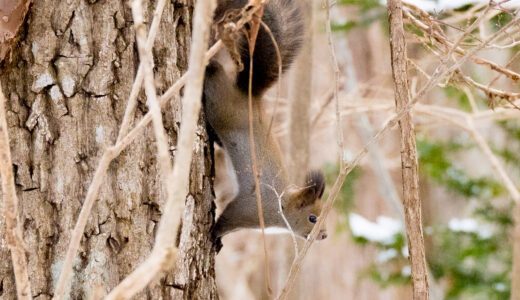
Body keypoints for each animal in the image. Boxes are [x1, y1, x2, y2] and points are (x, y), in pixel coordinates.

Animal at [202, 0, 328, 241]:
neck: (281, 206)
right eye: (312, 218)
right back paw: (208, 66)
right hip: (218, 104)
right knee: (215, 74)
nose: (324, 235)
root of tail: (248, 94)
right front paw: (214, 236)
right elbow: (226, 219)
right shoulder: (249, 209)